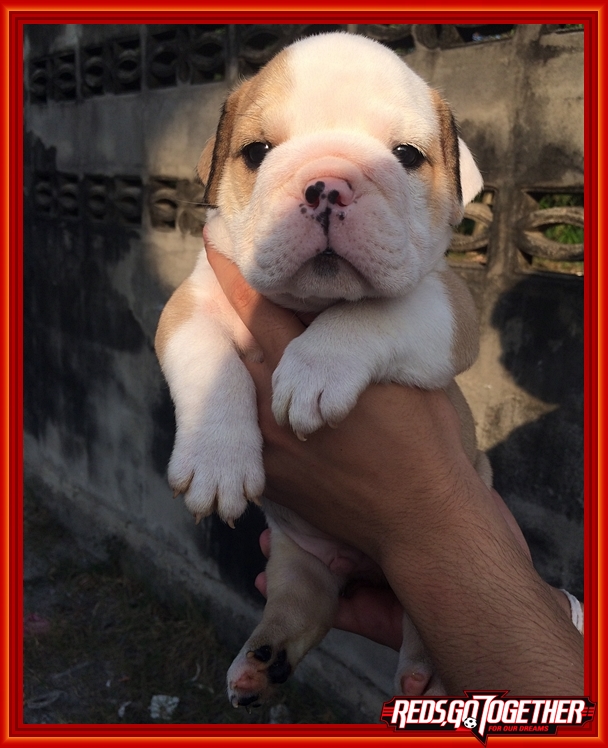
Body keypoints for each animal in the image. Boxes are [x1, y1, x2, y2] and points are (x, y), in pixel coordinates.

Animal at [155, 31, 492, 707]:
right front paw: (218, 460)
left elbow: (376, 310)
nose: (328, 184)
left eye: (407, 156)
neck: (309, 304)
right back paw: (262, 663)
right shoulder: (191, 304)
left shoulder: (450, 309)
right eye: (256, 153)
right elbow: (209, 361)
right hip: (295, 554)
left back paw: (428, 675)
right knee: (302, 602)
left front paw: (314, 369)